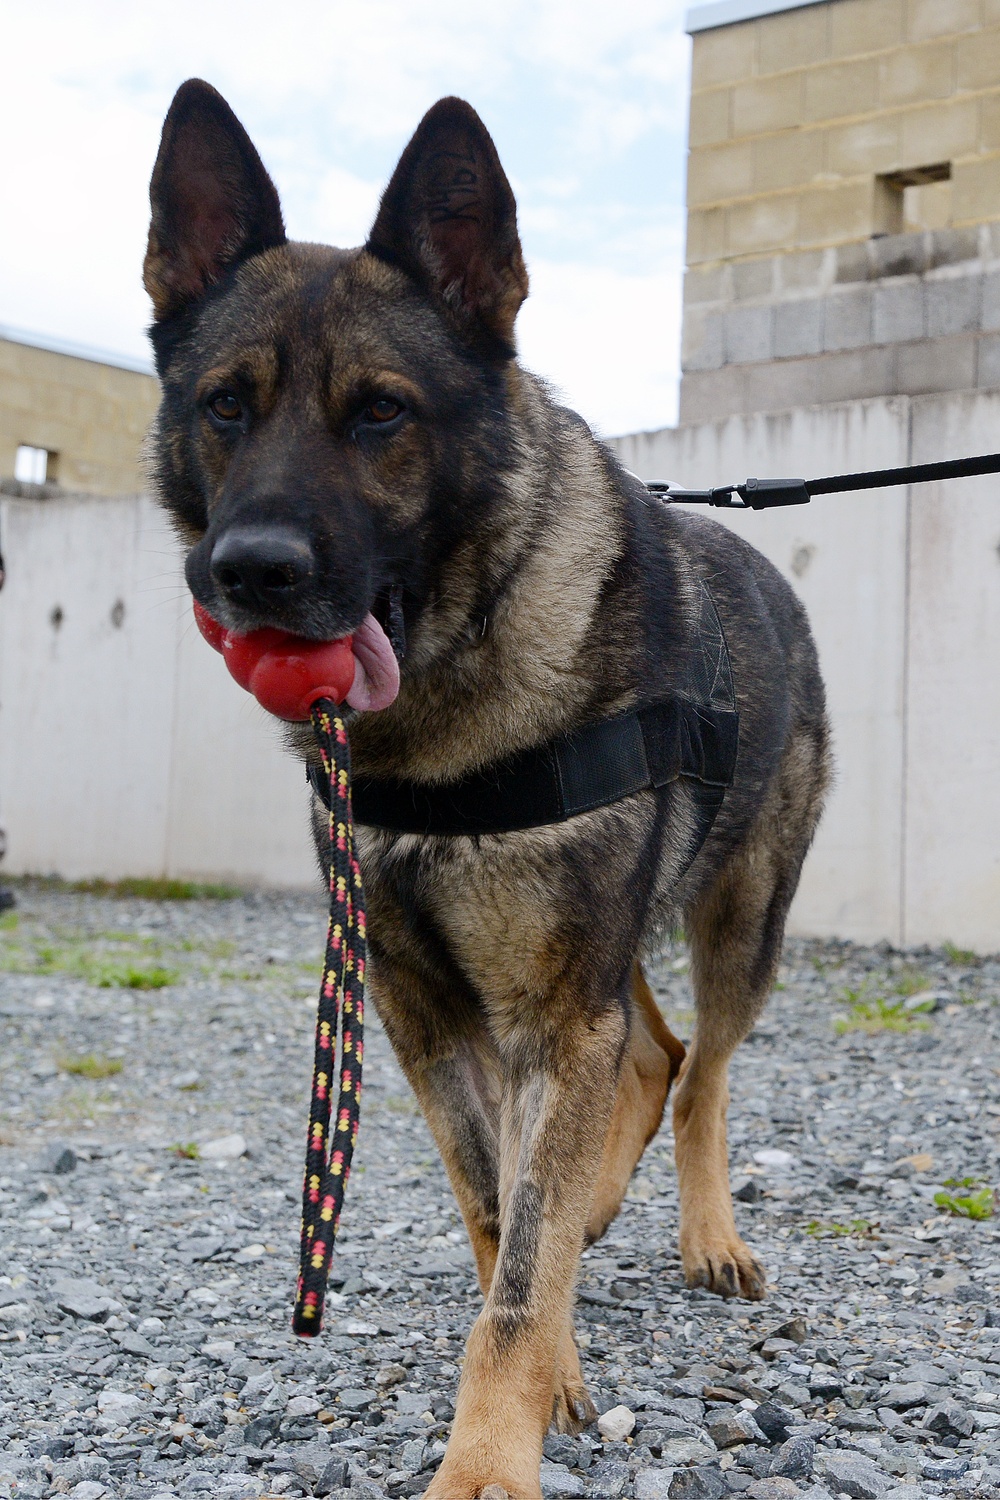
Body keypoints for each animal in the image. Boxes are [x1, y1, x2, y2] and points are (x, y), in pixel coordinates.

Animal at [140, 79, 827, 1500]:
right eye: (226, 406)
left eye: (381, 413)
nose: (251, 573)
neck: (440, 725)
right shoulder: (426, 1010)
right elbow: (491, 1205)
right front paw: (548, 1343)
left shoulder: (551, 1014)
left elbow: (517, 1260)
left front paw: (491, 1456)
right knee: (649, 1055)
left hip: (738, 922)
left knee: (701, 1068)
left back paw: (703, 1231)